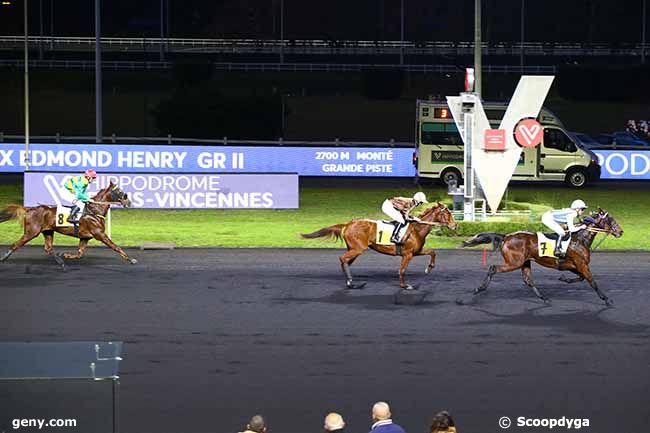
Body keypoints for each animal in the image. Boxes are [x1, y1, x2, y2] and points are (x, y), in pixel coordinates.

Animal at [0, 181, 137, 264]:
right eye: (118, 191)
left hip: (48, 231)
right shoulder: (99, 234)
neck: (94, 211)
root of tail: (29, 209)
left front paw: (67, 255)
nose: (128, 202)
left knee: (48, 248)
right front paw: (130, 259)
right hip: (31, 232)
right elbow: (115, 246)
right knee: (16, 244)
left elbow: (80, 253)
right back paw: (4, 257)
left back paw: (59, 259)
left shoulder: (85, 237)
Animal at [298, 202, 456, 288]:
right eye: (447, 214)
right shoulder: (408, 254)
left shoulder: (416, 251)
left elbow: (432, 252)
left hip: (354, 248)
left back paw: (350, 281)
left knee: (346, 261)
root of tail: (348, 223)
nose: (455, 225)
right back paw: (350, 282)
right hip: (358, 248)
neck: (417, 229)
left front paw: (429, 268)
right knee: (343, 259)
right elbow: (402, 270)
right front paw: (404, 286)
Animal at [458, 207, 620, 304]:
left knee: (528, 280)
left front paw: (564, 279)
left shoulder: (573, 265)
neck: (580, 239)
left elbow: (581, 277)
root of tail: (505, 237)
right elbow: (592, 281)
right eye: (610, 220)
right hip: (514, 262)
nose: (620, 231)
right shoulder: (581, 264)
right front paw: (606, 299)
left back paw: (544, 298)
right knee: (493, 268)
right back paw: (479, 289)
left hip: (525, 262)